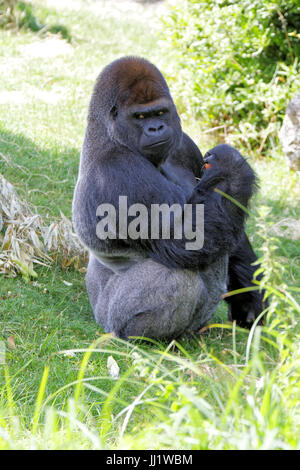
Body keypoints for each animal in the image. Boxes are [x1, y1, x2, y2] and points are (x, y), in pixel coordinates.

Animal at [73, 57, 264, 340]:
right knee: (177, 277)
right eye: (140, 116)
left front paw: (249, 299)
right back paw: (143, 336)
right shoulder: (119, 173)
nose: (156, 128)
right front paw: (232, 167)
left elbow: (230, 222)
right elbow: (185, 238)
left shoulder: (185, 145)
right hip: (110, 317)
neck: (109, 133)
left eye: (160, 113)